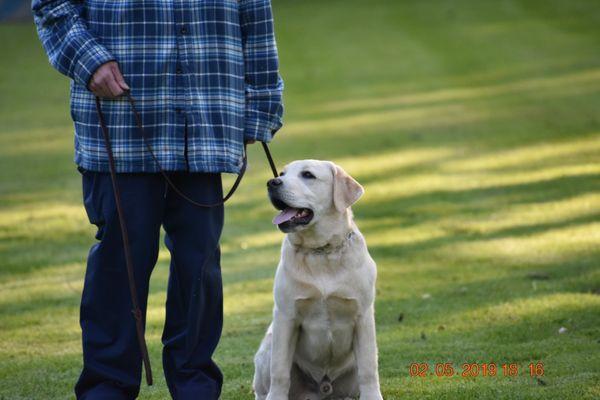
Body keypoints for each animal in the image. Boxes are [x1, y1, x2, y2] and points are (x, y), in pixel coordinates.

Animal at [251, 160, 382, 400]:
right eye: (282, 173)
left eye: (308, 175)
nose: (272, 182)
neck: (321, 251)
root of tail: (323, 389)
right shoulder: (286, 316)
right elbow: (280, 371)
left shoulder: (363, 316)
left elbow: (369, 368)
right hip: (267, 348)